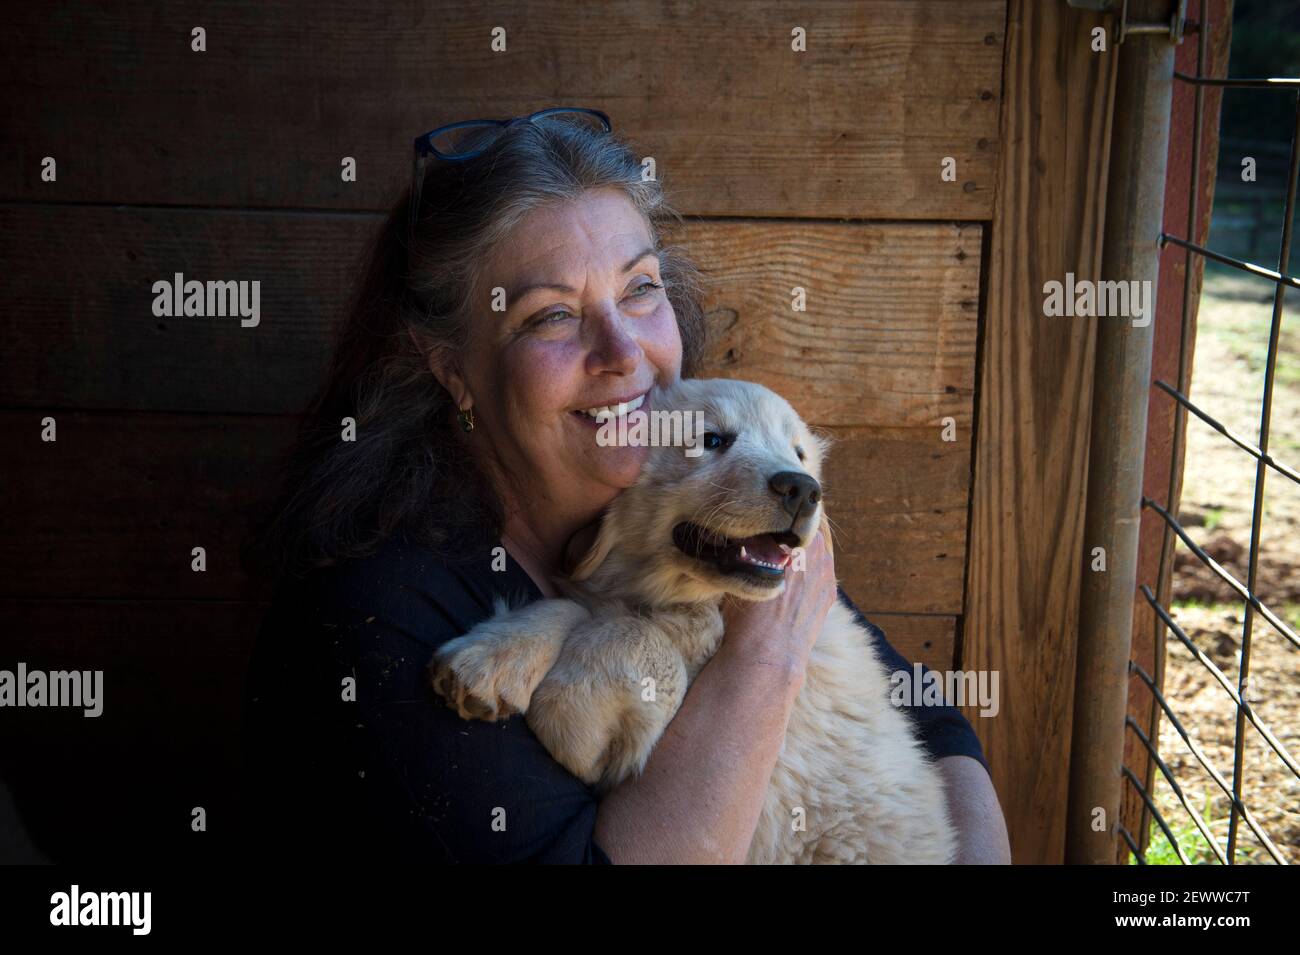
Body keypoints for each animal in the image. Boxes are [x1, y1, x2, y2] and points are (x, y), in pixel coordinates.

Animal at [431, 382, 951, 867]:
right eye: (712, 439)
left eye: (799, 453)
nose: (803, 489)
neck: (702, 601)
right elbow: (575, 608)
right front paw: (490, 659)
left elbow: (630, 632)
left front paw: (571, 712)